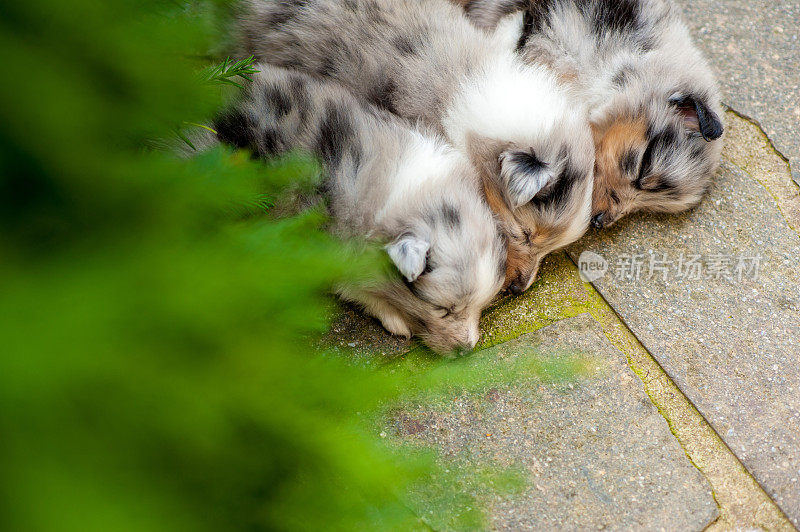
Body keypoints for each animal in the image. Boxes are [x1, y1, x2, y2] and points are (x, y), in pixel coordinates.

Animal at [209, 63, 504, 354]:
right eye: (442, 309)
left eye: (482, 305)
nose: (467, 350)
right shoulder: (329, 239)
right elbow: (354, 285)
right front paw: (395, 318)